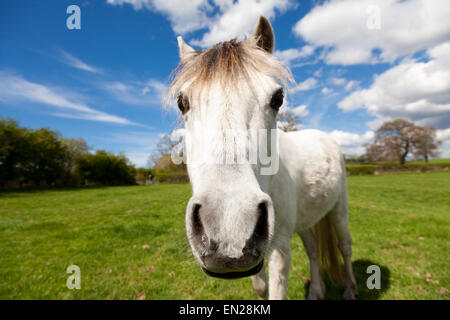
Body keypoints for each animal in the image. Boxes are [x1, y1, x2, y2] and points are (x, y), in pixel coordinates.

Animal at [167, 15, 356, 300]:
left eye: (278, 98)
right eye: (182, 102)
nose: (229, 226)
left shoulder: (280, 249)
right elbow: (260, 285)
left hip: (339, 210)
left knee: (345, 246)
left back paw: (351, 289)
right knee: (313, 249)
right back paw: (316, 291)